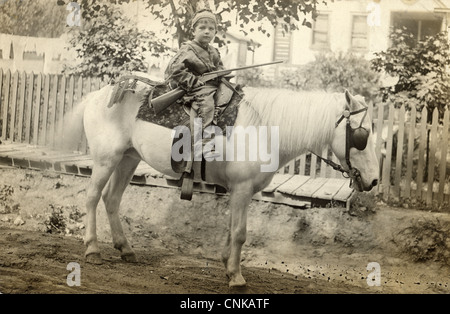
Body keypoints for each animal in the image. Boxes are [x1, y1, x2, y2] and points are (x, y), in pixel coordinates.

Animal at [64, 85, 380, 288]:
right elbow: (240, 233)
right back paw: (92, 248)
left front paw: (227, 264)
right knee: (93, 197)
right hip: (107, 158)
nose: (374, 180)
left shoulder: (239, 192)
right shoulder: (242, 189)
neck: (264, 129)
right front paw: (236, 277)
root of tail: (98, 95)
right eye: (361, 136)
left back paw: (126, 248)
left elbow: (231, 229)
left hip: (129, 158)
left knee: (111, 199)